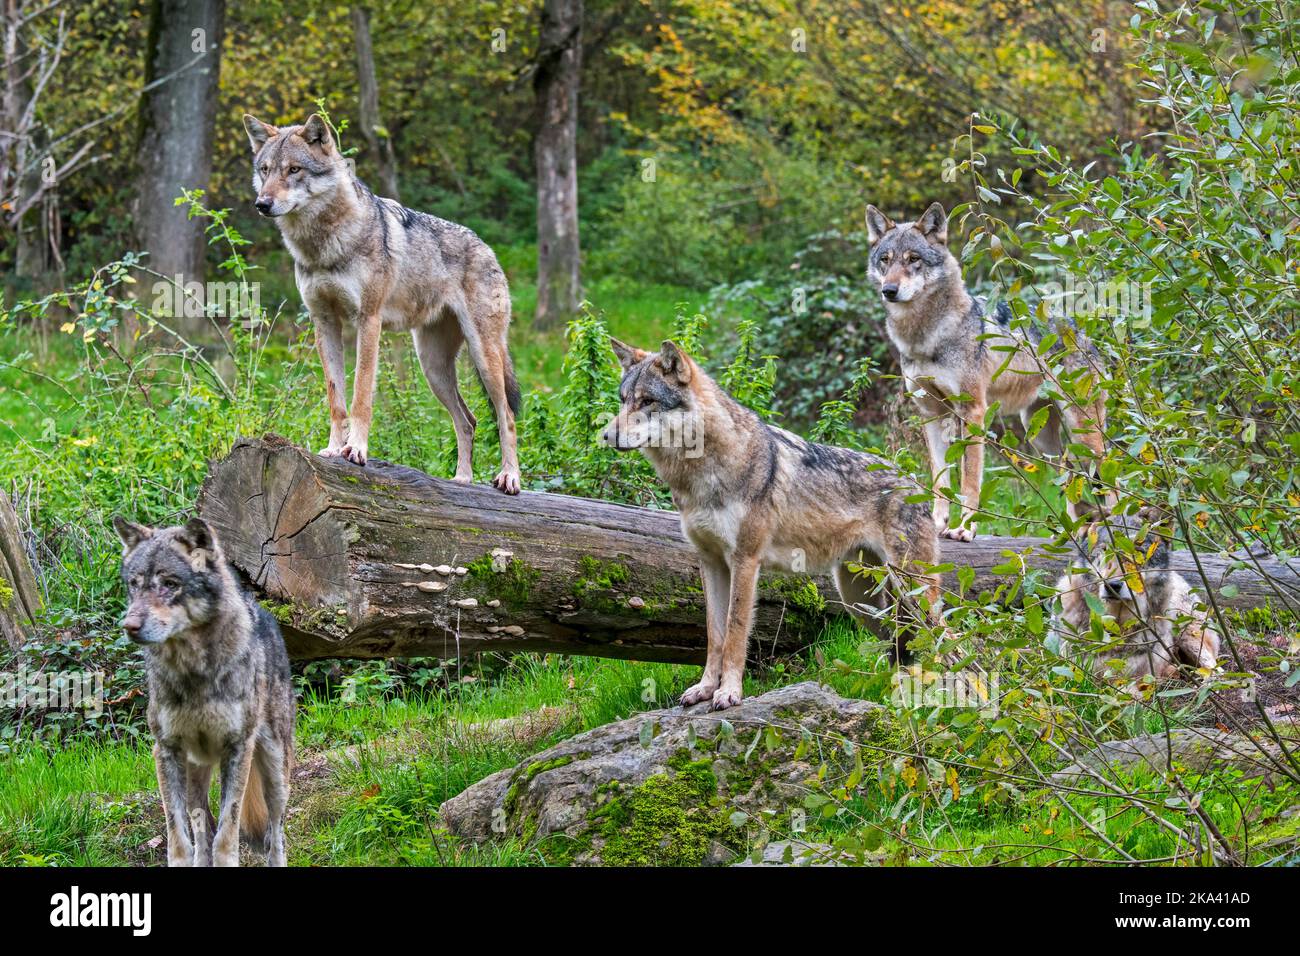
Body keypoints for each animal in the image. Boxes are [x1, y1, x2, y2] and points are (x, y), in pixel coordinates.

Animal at [114, 516, 295, 867]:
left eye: (170, 584)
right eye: (134, 584)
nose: (129, 626)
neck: (193, 673)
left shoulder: (237, 749)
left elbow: (227, 834)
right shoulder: (166, 751)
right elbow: (179, 839)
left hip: (276, 772)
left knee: (276, 834)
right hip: (194, 771)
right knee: (201, 832)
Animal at [242, 113, 522, 494]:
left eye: (294, 170)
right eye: (265, 170)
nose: (262, 203)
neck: (323, 244)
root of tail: (487, 246)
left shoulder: (368, 320)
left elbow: (361, 395)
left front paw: (356, 450)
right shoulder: (324, 323)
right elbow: (336, 399)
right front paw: (333, 449)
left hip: (484, 357)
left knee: (505, 416)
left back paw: (510, 477)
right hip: (432, 368)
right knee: (469, 419)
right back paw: (462, 480)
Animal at [601, 338, 946, 710]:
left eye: (648, 401)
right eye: (623, 399)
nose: (606, 435)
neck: (702, 473)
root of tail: (917, 483)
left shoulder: (745, 561)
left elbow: (736, 632)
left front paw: (729, 692)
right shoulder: (709, 562)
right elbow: (714, 634)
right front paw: (705, 688)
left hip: (911, 594)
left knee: (944, 638)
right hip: (860, 601)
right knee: (899, 646)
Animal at [865, 202, 1108, 541]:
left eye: (913, 259)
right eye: (885, 260)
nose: (889, 290)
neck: (926, 336)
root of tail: (1083, 334)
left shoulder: (973, 411)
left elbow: (969, 479)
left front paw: (965, 529)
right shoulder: (931, 413)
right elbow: (939, 479)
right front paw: (937, 523)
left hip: (1084, 434)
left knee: (1112, 475)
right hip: (1042, 438)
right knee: (1069, 474)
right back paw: (1070, 532)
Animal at [1052, 508, 1219, 679]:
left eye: (1137, 552)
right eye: (1104, 550)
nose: (1113, 585)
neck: (1117, 629)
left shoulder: (1142, 676)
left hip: (1189, 636)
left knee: (1215, 671)